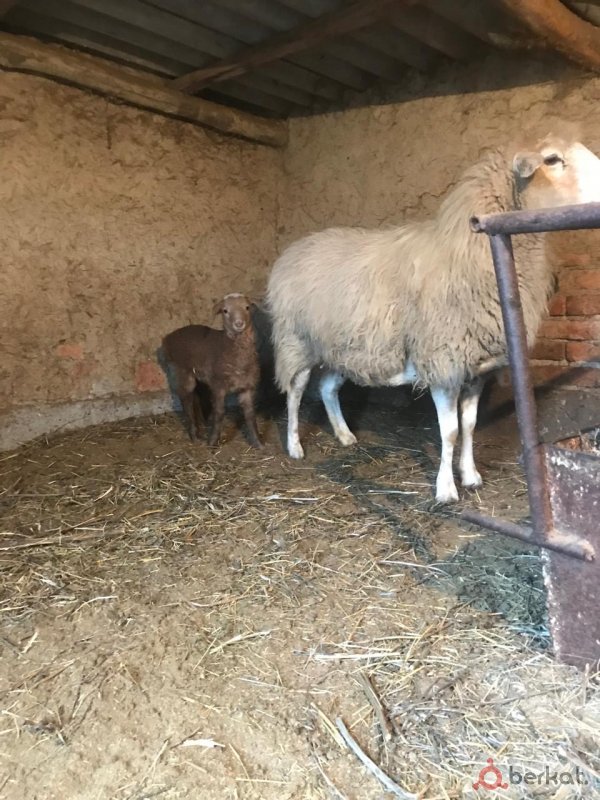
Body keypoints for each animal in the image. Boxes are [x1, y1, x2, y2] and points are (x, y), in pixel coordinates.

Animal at [162, 293, 263, 449]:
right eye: (225, 311)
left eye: (247, 307)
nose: (239, 323)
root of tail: (167, 338)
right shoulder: (218, 385)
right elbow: (219, 413)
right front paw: (213, 441)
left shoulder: (247, 387)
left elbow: (250, 414)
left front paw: (258, 442)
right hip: (180, 371)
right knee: (186, 401)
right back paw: (194, 434)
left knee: (196, 397)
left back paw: (201, 424)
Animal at [266, 130, 600, 503]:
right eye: (553, 159)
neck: (466, 251)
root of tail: (294, 249)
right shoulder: (443, 364)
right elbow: (450, 432)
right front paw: (446, 490)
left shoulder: (477, 368)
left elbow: (469, 426)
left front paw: (470, 475)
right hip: (296, 341)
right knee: (294, 393)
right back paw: (295, 446)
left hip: (344, 349)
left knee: (327, 388)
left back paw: (345, 435)